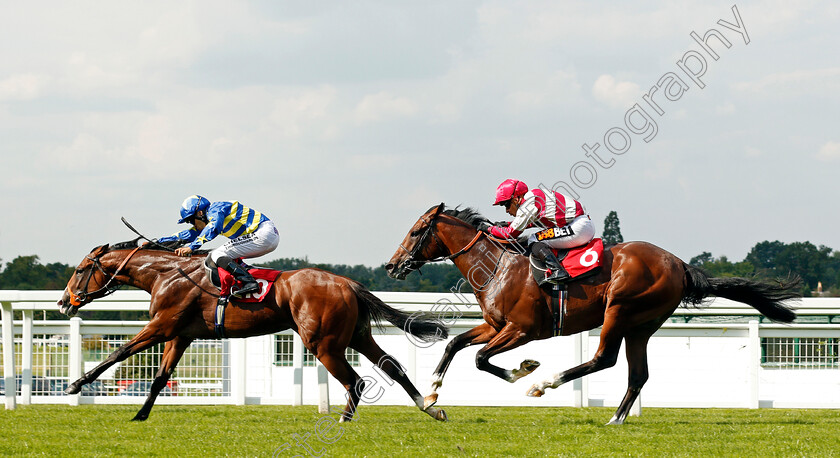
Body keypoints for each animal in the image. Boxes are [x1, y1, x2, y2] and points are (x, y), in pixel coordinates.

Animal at [57, 240, 452, 422]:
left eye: (79, 270)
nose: (63, 303)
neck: (165, 274)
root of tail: (347, 283)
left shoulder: (161, 326)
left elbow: (119, 352)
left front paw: (75, 385)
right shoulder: (180, 335)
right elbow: (159, 378)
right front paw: (140, 415)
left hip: (324, 344)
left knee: (355, 380)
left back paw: (344, 418)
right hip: (357, 335)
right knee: (392, 366)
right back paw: (430, 408)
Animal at [384, 204, 796, 426]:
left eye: (416, 231)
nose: (392, 265)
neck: (498, 266)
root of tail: (679, 264)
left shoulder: (522, 330)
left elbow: (482, 359)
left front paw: (525, 370)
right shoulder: (494, 325)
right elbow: (455, 343)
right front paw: (432, 393)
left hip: (620, 309)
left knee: (604, 358)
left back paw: (545, 384)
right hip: (641, 325)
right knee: (637, 373)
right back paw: (616, 418)